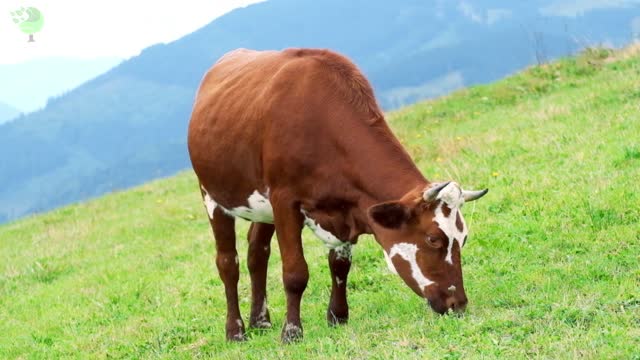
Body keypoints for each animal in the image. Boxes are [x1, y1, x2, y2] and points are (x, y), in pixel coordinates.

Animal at [188, 47, 488, 344]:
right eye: (433, 239)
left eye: (463, 238)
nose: (458, 304)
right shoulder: (284, 200)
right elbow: (295, 272)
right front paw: (292, 331)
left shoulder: (346, 209)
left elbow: (340, 265)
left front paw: (337, 316)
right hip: (211, 195)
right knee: (228, 262)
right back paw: (236, 330)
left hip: (261, 209)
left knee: (256, 254)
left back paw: (260, 321)